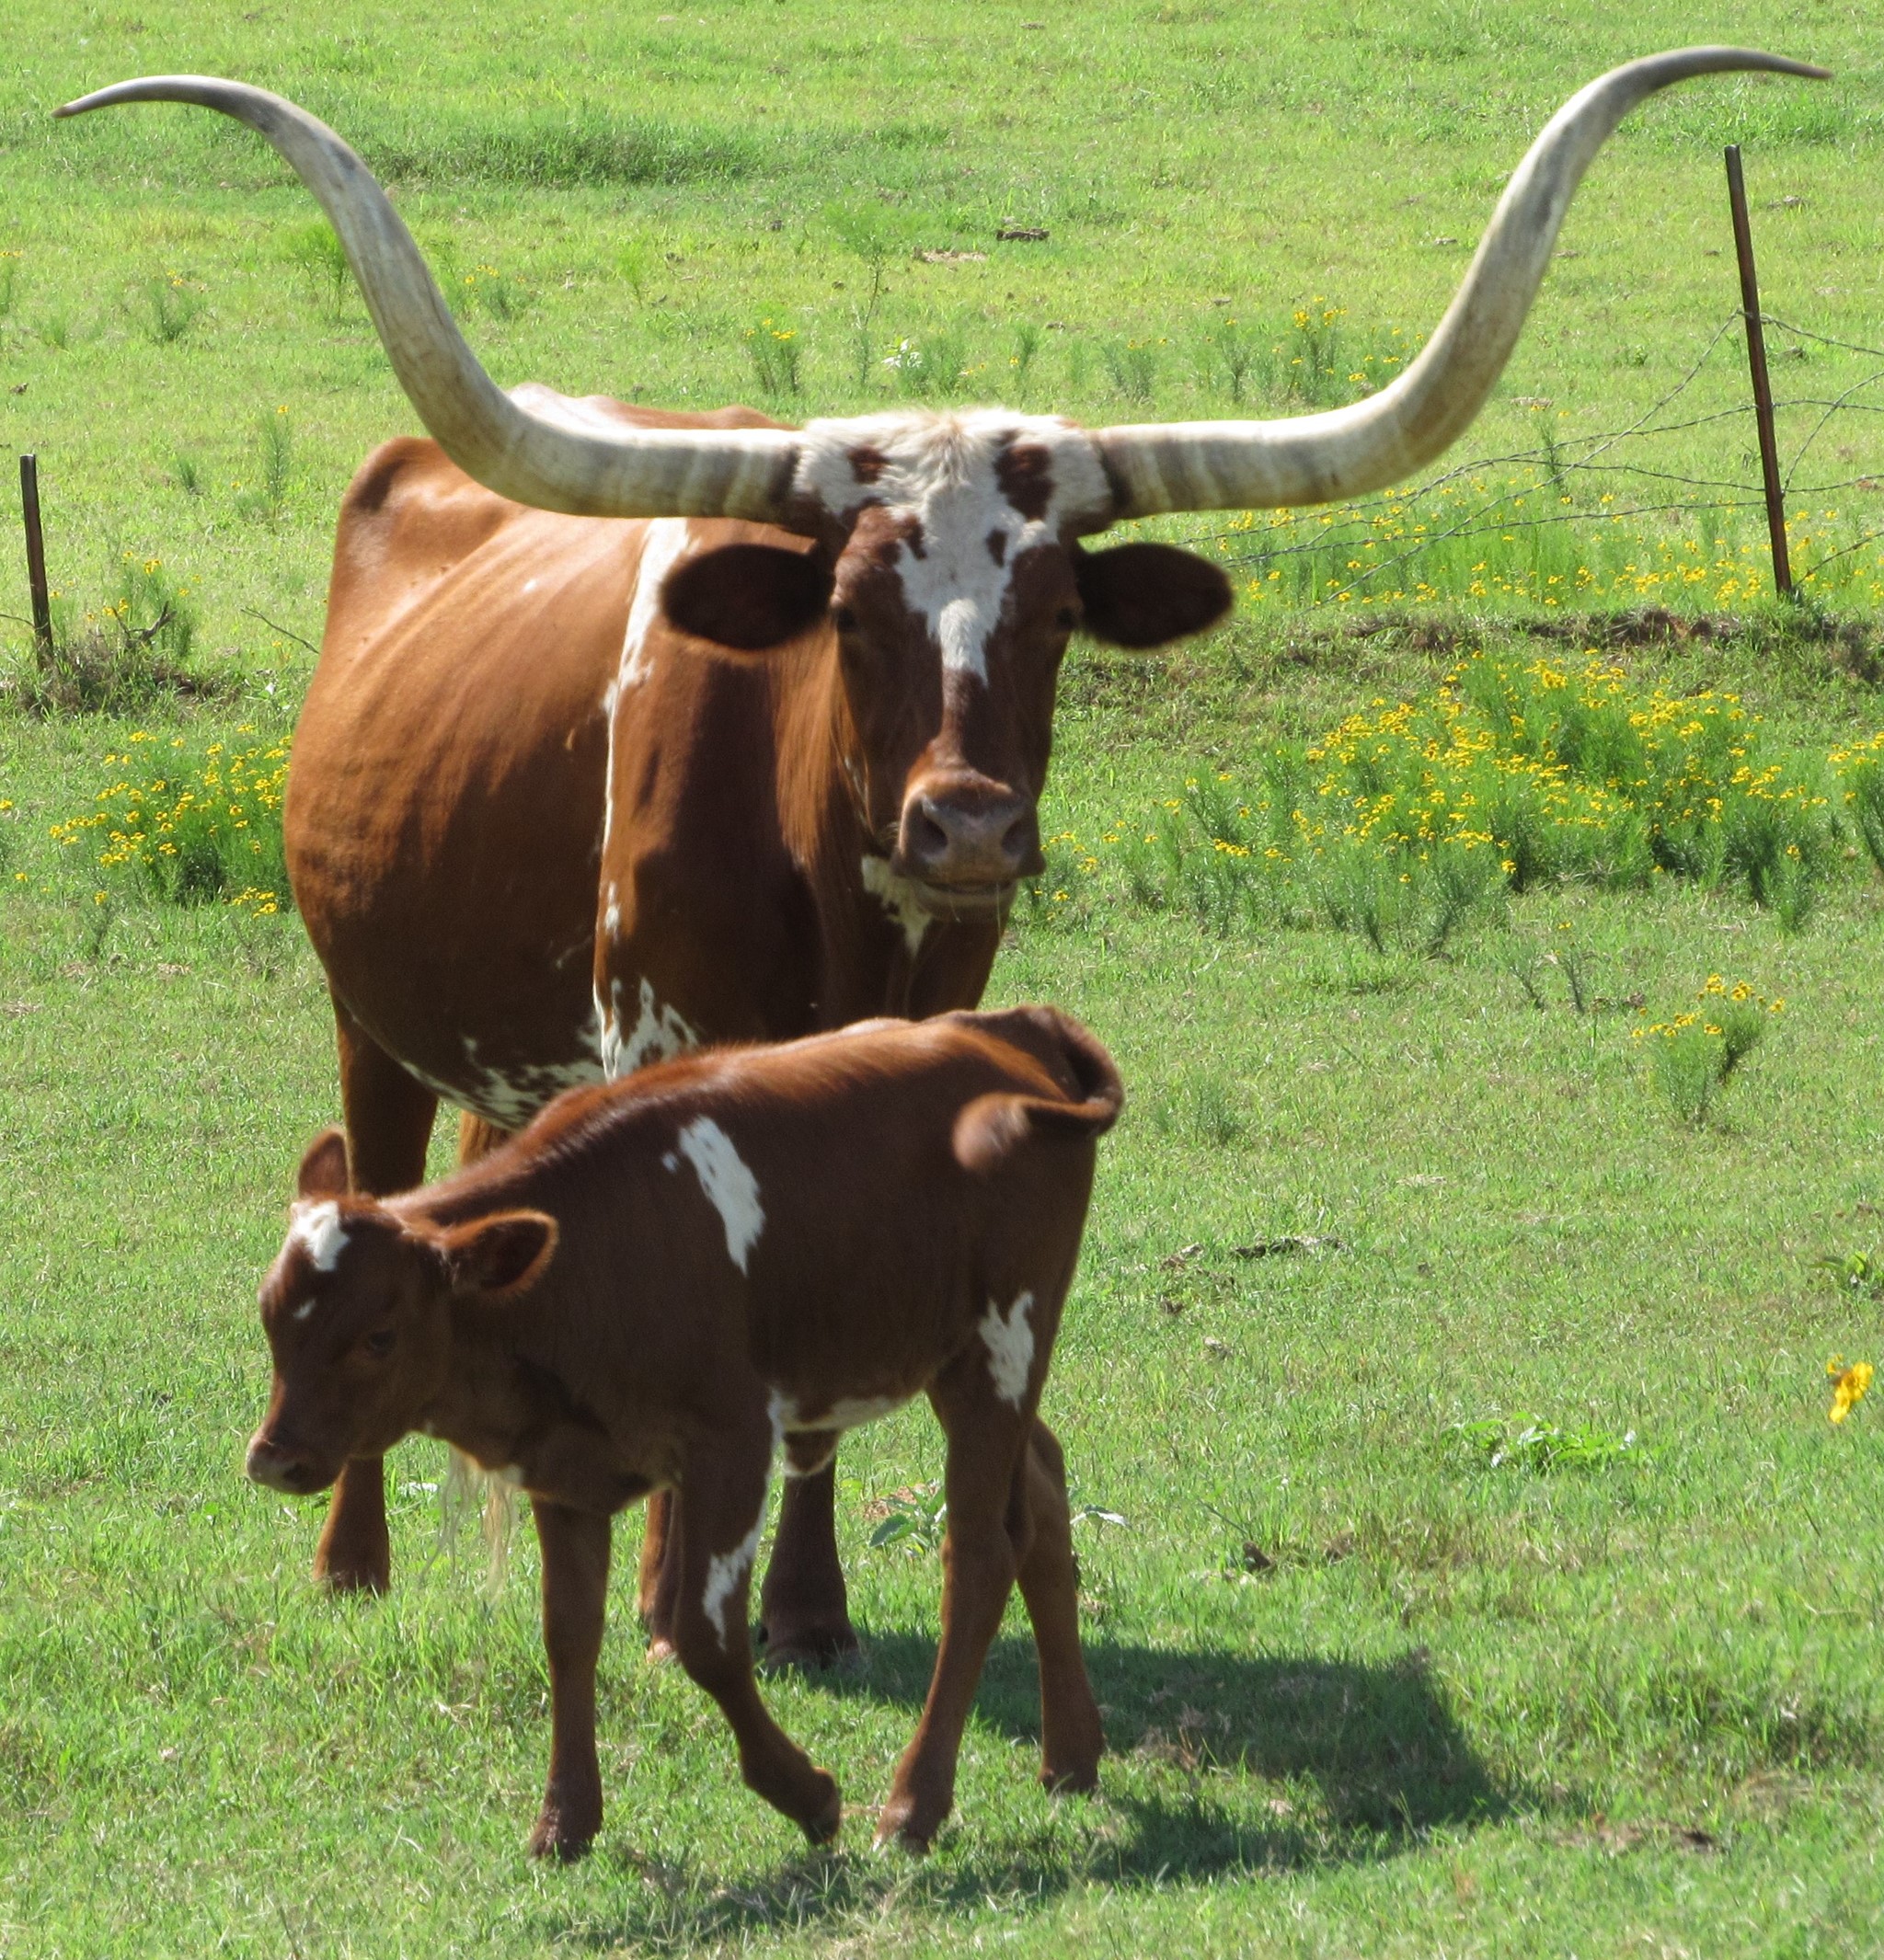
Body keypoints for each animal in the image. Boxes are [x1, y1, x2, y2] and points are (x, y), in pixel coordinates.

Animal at [62, 47, 1825, 1661]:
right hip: (370, 1011)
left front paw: (804, 1609)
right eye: (847, 612)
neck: (841, 912)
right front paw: (667, 1603)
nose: (965, 821)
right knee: (375, 1174)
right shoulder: (654, 1048)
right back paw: (352, 1560)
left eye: (1055, 611)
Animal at [245, 1005, 1123, 1859]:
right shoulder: (564, 1466)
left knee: (978, 1555)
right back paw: (1072, 1754)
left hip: (1001, 1349)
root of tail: (1015, 1031)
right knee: (1042, 1496)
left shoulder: (732, 1445)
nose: (272, 1458)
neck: (596, 1248)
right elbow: (569, 1633)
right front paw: (566, 1819)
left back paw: (915, 1805)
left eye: (378, 1336)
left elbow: (706, 1637)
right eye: (270, 1316)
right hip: (963, 1360)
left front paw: (807, 1793)